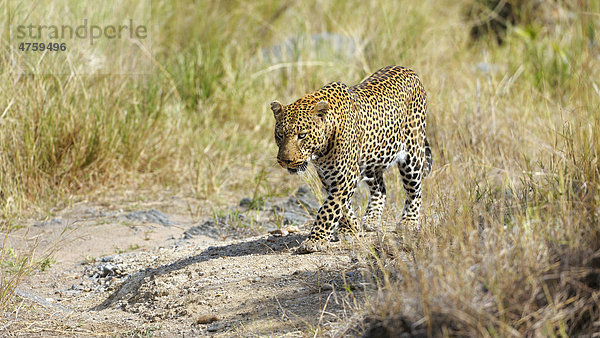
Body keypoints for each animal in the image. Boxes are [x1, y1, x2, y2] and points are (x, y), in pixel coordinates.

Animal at [270, 66, 432, 252]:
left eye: (302, 135)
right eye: (280, 135)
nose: (285, 160)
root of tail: (408, 70)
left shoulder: (345, 176)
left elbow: (328, 208)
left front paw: (315, 240)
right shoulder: (329, 176)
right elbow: (341, 206)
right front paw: (351, 227)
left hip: (412, 153)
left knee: (414, 190)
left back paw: (409, 221)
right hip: (372, 159)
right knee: (380, 189)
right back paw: (371, 218)